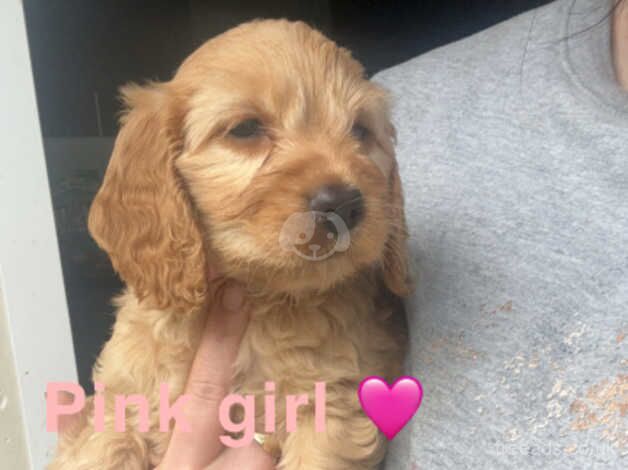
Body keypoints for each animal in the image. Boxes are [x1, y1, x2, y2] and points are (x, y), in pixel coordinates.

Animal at [50, 19, 412, 470]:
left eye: (360, 131)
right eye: (245, 129)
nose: (343, 204)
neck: (259, 299)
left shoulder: (331, 410)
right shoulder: (121, 399)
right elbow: (101, 448)